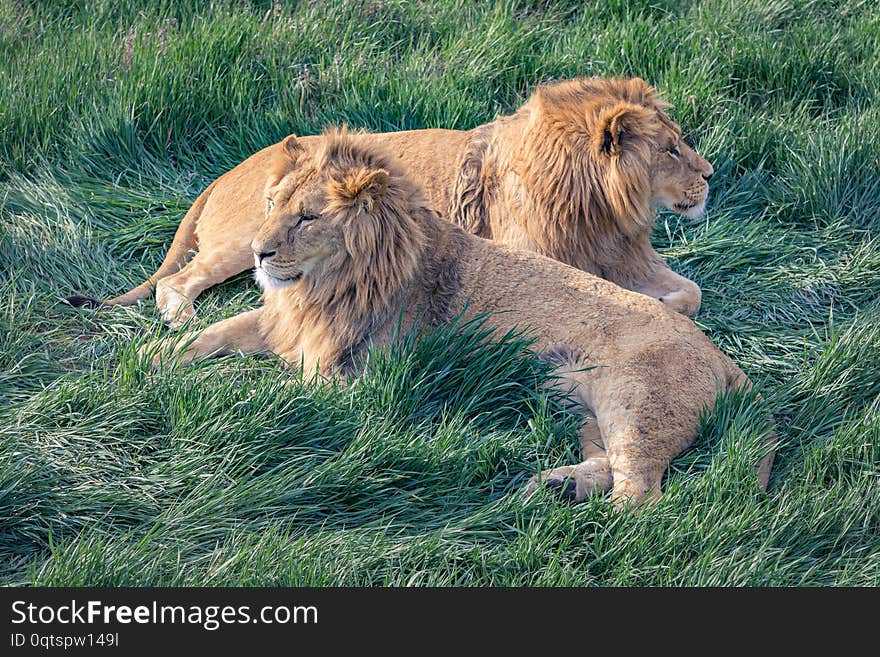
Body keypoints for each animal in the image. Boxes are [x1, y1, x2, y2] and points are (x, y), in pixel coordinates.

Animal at [69, 78, 716, 324]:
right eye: (671, 150)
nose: (711, 176)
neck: (603, 213)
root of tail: (229, 169)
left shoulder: (625, 256)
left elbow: (692, 292)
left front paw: (666, 303)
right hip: (243, 242)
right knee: (175, 282)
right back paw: (183, 319)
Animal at [146, 128, 776, 504]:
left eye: (307, 217)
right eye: (272, 203)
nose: (258, 252)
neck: (324, 286)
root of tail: (721, 357)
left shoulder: (349, 379)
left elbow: (265, 391)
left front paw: (220, 395)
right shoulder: (286, 324)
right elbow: (215, 332)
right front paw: (158, 355)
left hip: (635, 402)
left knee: (641, 496)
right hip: (580, 403)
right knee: (607, 466)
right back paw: (554, 485)